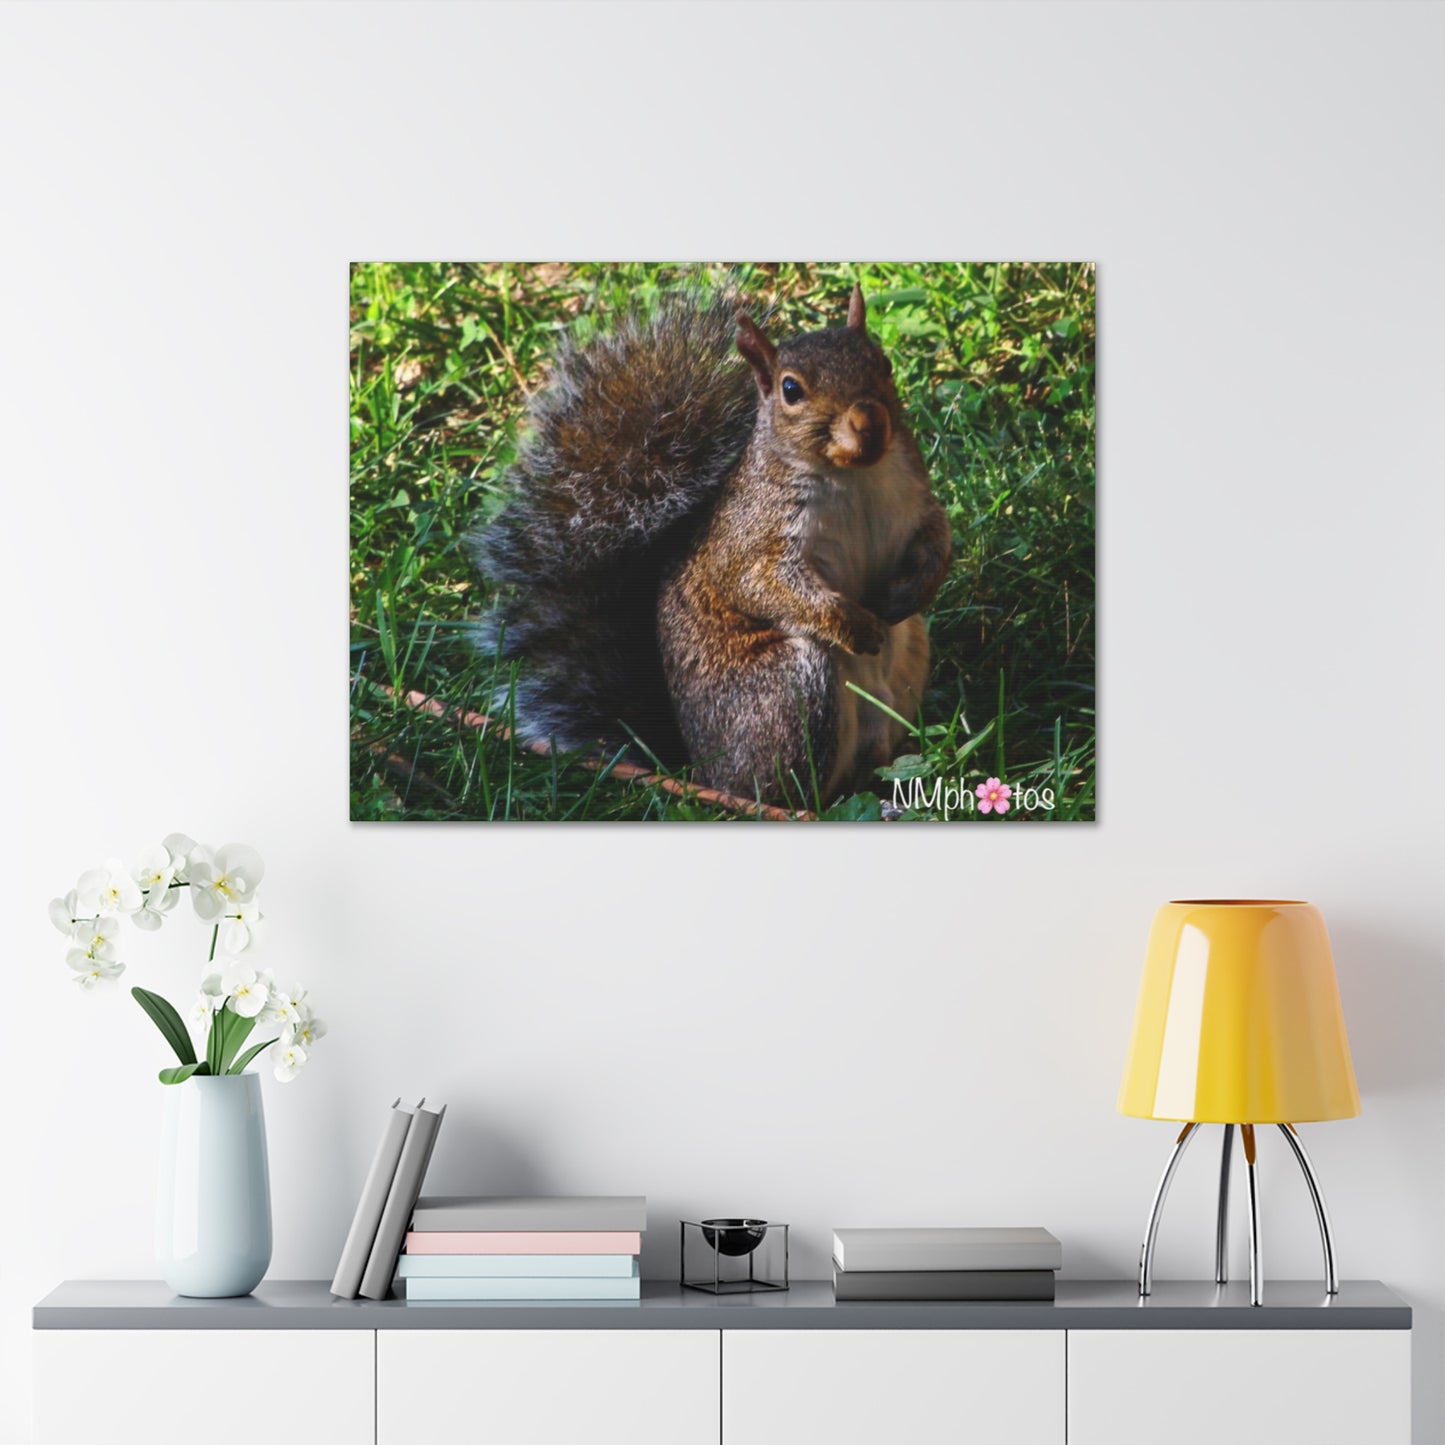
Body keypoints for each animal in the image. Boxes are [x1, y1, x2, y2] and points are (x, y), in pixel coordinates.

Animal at [471, 281, 953, 806]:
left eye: (883, 363)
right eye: (791, 390)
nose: (869, 421)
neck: (854, 475)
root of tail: (701, 770)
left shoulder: (915, 501)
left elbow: (938, 538)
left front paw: (913, 590)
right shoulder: (751, 538)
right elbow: (761, 586)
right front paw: (855, 625)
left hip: (910, 655)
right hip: (789, 689)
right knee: (787, 788)